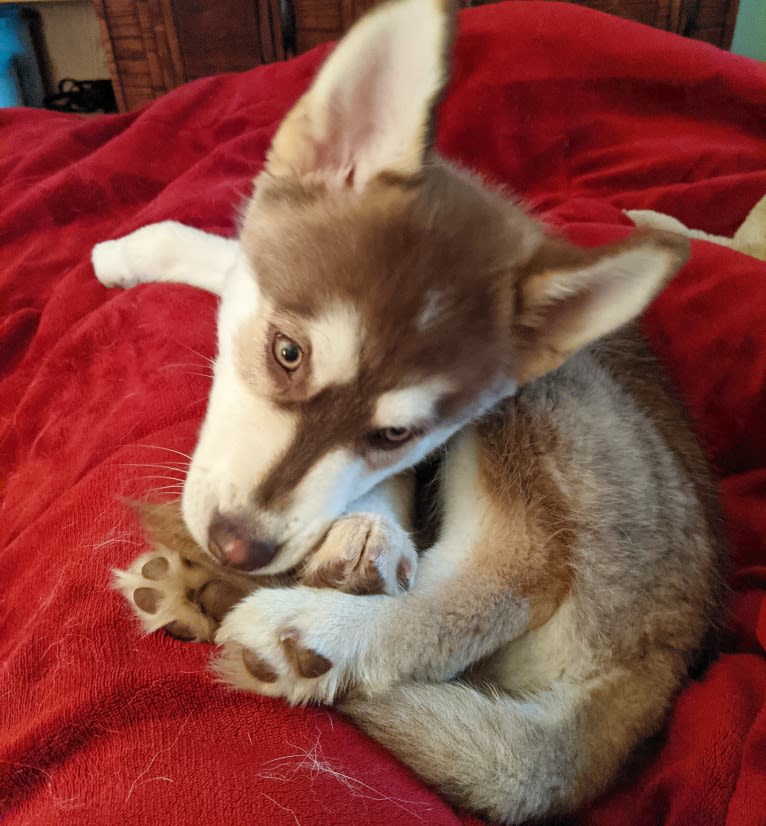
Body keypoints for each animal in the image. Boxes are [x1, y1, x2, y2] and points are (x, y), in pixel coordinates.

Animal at [94, 3, 728, 820]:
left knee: (505, 578)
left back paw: (313, 629)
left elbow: (215, 248)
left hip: (540, 423)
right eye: (286, 353)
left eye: (396, 431)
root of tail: (671, 656)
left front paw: (125, 249)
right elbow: (228, 254)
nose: (240, 548)